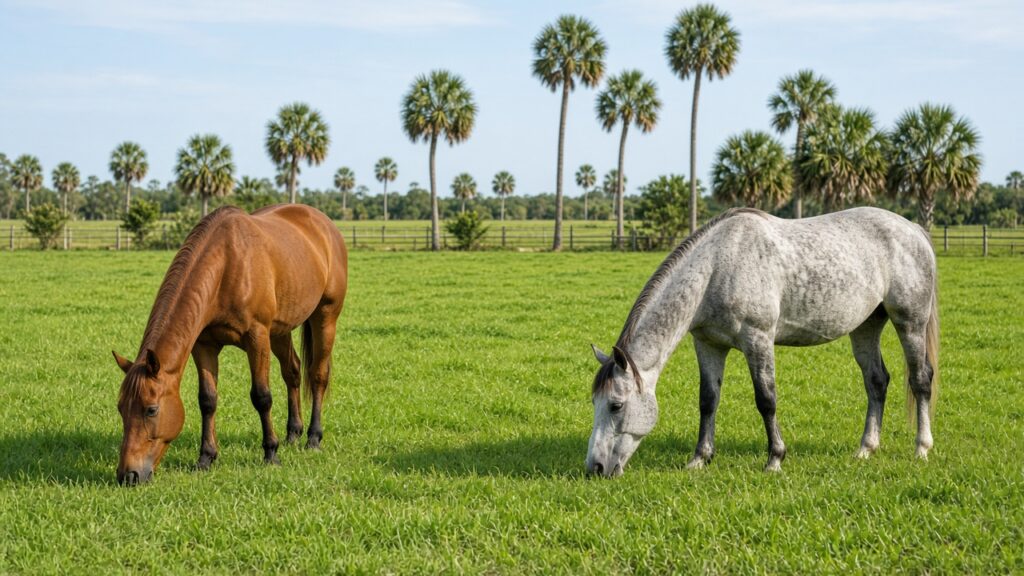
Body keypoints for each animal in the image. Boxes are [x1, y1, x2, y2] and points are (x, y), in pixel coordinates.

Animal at [113, 204, 348, 485]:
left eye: (151, 410)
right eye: (121, 408)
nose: (128, 475)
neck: (226, 265)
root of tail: (325, 224)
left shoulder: (257, 337)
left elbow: (261, 396)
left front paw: (271, 453)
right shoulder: (204, 345)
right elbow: (207, 399)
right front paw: (206, 457)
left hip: (325, 317)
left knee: (318, 376)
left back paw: (313, 438)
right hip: (280, 330)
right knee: (292, 371)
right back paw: (293, 433)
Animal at [587, 207, 939, 476]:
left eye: (616, 405)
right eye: (595, 403)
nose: (595, 468)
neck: (717, 266)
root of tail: (913, 229)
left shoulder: (758, 339)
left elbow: (766, 399)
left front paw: (774, 459)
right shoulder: (708, 344)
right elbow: (708, 400)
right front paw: (700, 458)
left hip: (910, 322)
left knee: (920, 379)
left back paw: (922, 448)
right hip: (866, 326)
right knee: (876, 381)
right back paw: (866, 449)